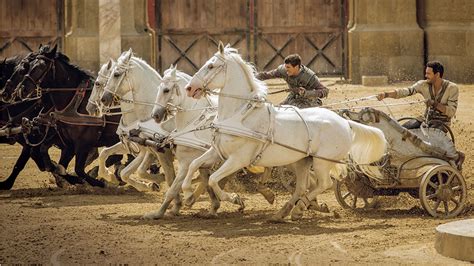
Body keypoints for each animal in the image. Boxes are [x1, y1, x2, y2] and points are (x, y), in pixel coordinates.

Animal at [15, 45, 124, 187]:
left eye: (41, 66)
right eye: (29, 66)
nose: (22, 89)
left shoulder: (83, 142)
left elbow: (79, 169)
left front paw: (95, 181)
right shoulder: (67, 142)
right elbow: (57, 164)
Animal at [98, 50, 174, 191]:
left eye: (116, 74)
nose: (103, 99)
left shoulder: (149, 151)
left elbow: (133, 172)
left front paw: (152, 182)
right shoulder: (132, 146)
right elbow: (106, 154)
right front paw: (109, 175)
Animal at [183, 42, 386, 220]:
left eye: (211, 66)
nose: (190, 88)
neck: (240, 115)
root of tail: (345, 122)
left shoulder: (238, 159)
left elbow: (213, 179)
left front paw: (235, 198)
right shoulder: (217, 152)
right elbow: (194, 165)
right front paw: (187, 194)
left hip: (321, 162)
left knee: (323, 184)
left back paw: (299, 209)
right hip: (302, 161)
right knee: (302, 186)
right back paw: (283, 213)